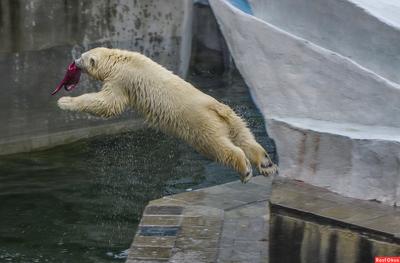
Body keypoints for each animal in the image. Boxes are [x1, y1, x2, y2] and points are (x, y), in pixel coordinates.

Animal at [57, 47, 276, 183]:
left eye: (82, 57)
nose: (73, 61)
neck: (119, 59)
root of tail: (215, 107)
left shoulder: (121, 79)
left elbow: (108, 104)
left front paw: (64, 102)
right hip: (231, 117)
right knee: (245, 136)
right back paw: (266, 164)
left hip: (201, 124)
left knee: (219, 147)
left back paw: (245, 170)